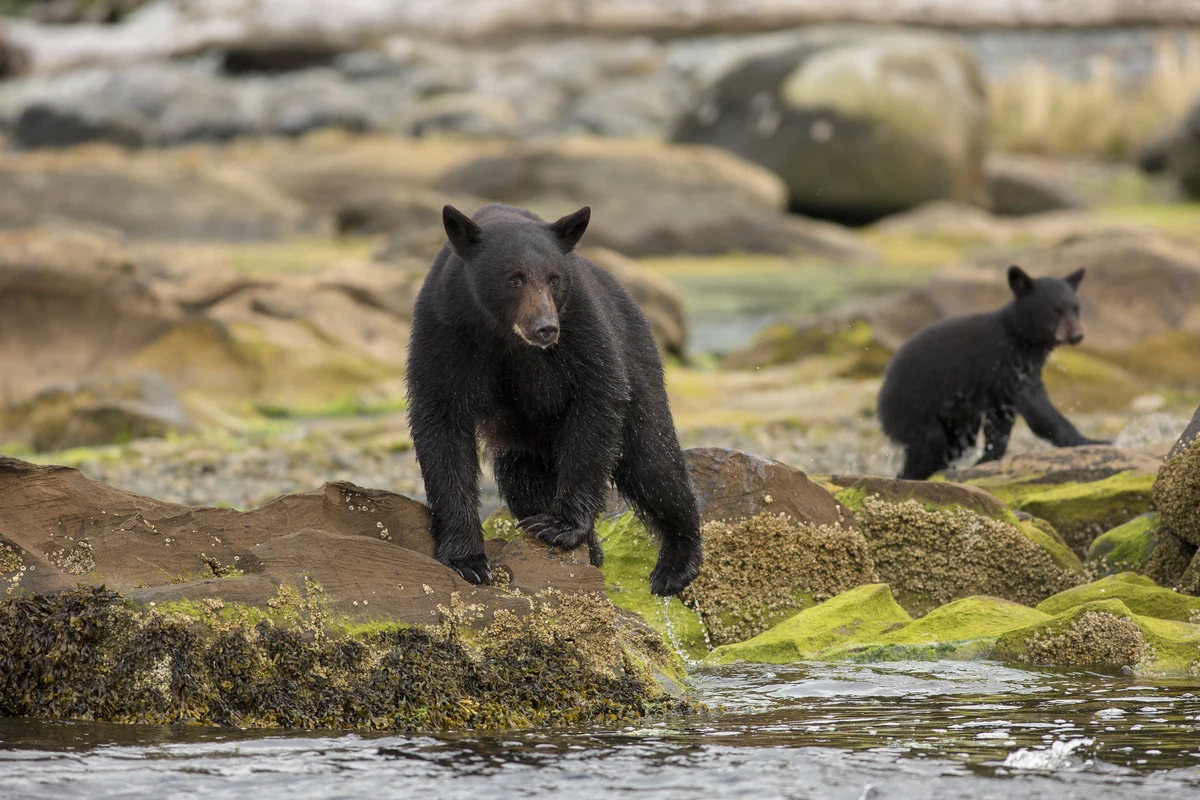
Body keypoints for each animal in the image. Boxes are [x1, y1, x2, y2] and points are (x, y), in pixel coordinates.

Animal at [405, 202, 703, 596]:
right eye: (514, 278)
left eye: (554, 278)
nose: (545, 327)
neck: (503, 335)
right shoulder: (444, 333)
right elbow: (441, 425)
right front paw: (466, 558)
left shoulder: (580, 326)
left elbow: (597, 397)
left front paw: (560, 526)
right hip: (523, 446)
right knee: (523, 482)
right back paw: (593, 552)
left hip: (638, 364)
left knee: (654, 464)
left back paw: (675, 564)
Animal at [877, 265, 1108, 481]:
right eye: (1055, 309)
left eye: (1076, 308)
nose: (1077, 335)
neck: (1019, 336)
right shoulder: (1009, 366)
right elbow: (1039, 411)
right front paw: (1092, 441)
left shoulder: (1000, 389)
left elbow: (999, 426)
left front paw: (986, 460)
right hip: (913, 412)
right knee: (929, 447)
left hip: (956, 420)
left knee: (953, 447)